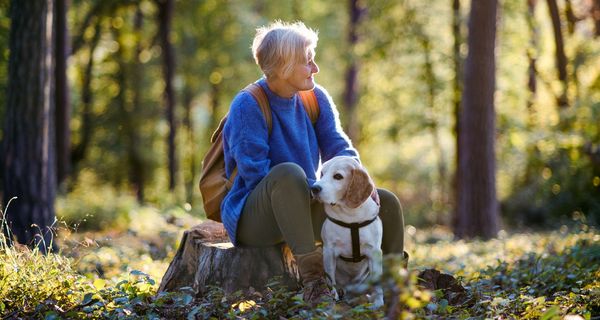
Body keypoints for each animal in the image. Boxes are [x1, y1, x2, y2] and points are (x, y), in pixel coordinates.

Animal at [310, 156, 384, 306]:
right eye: (322, 174)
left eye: (338, 176)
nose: (314, 188)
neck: (351, 217)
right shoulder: (329, 251)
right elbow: (330, 280)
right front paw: (333, 297)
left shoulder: (374, 252)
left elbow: (377, 283)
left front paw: (379, 303)